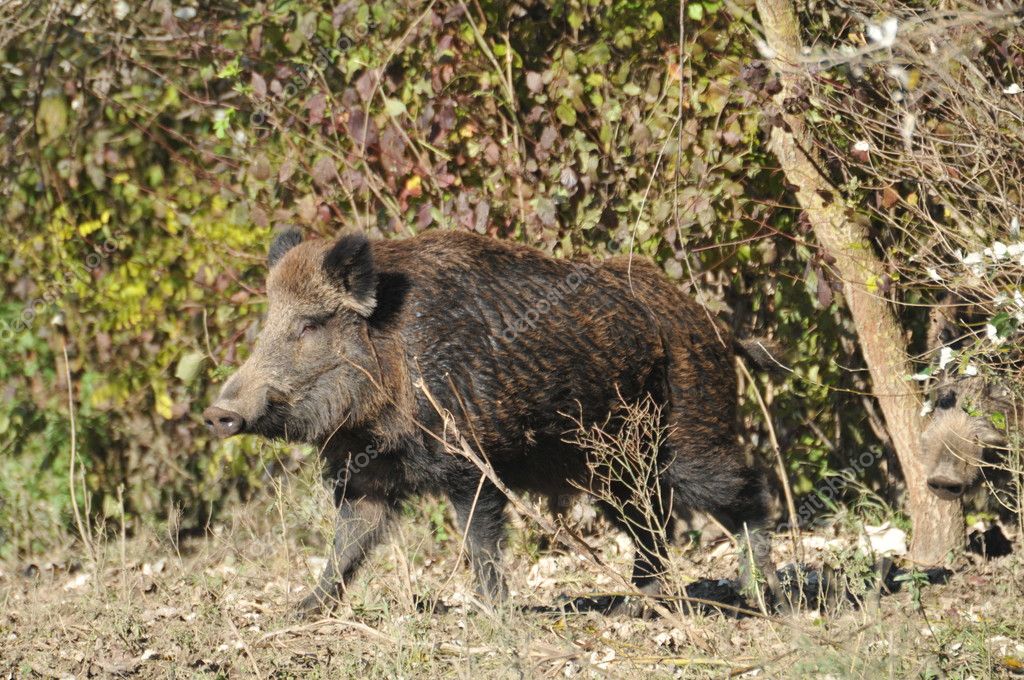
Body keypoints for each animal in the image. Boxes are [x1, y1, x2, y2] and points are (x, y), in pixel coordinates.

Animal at [203, 228, 785, 615]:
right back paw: (632, 608)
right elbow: (346, 547)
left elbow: (479, 544)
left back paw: (765, 597)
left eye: (309, 325)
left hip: (692, 434)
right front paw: (300, 611)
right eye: (269, 321)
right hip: (612, 469)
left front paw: (495, 618)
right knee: (653, 520)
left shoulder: (473, 463)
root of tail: (716, 326)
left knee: (747, 491)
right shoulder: (363, 477)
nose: (218, 413)